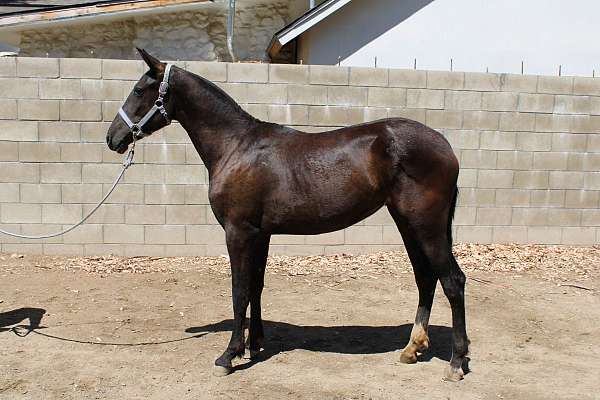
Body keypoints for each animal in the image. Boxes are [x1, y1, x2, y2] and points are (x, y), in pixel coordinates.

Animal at [106, 50, 468, 382]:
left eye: (139, 89)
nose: (113, 138)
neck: (236, 147)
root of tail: (446, 147)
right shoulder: (260, 233)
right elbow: (256, 285)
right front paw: (254, 345)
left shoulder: (238, 232)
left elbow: (239, 290)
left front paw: (229, 355)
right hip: (407, 223)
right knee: (425, 278)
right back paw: (412, 348)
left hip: (426, 225)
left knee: (453, 281)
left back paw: (455, 363)